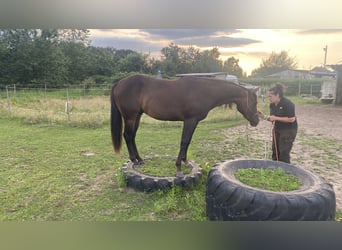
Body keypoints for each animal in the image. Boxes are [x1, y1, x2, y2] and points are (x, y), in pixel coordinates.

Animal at [110, 73, 260, 177]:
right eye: (254, 102)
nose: (256, 121)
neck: (205, 92)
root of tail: (120, 83)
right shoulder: (190, 120)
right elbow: (184, 141)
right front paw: (178, 168)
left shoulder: (193, 122)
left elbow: (187, 142)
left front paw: (185, 162)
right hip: (130, 117)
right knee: (128, 136)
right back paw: (134, 160)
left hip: (137, 116)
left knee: (132, 137)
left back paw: (139, 159)